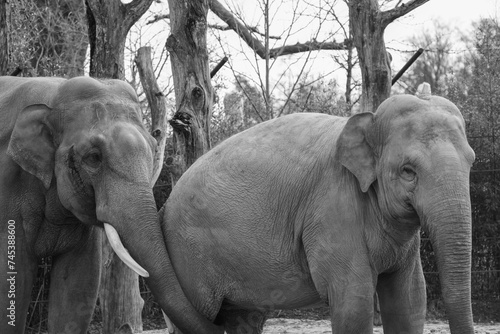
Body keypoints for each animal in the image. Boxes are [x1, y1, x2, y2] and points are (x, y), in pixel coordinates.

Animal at [161, 94, 476, 334]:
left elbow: (409, 299)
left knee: (245, 319)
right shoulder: (332, 208)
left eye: (472, 160)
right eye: (408, 171)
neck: (367, 120)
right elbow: (353, 300)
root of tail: (165, 205)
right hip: (189, 256)